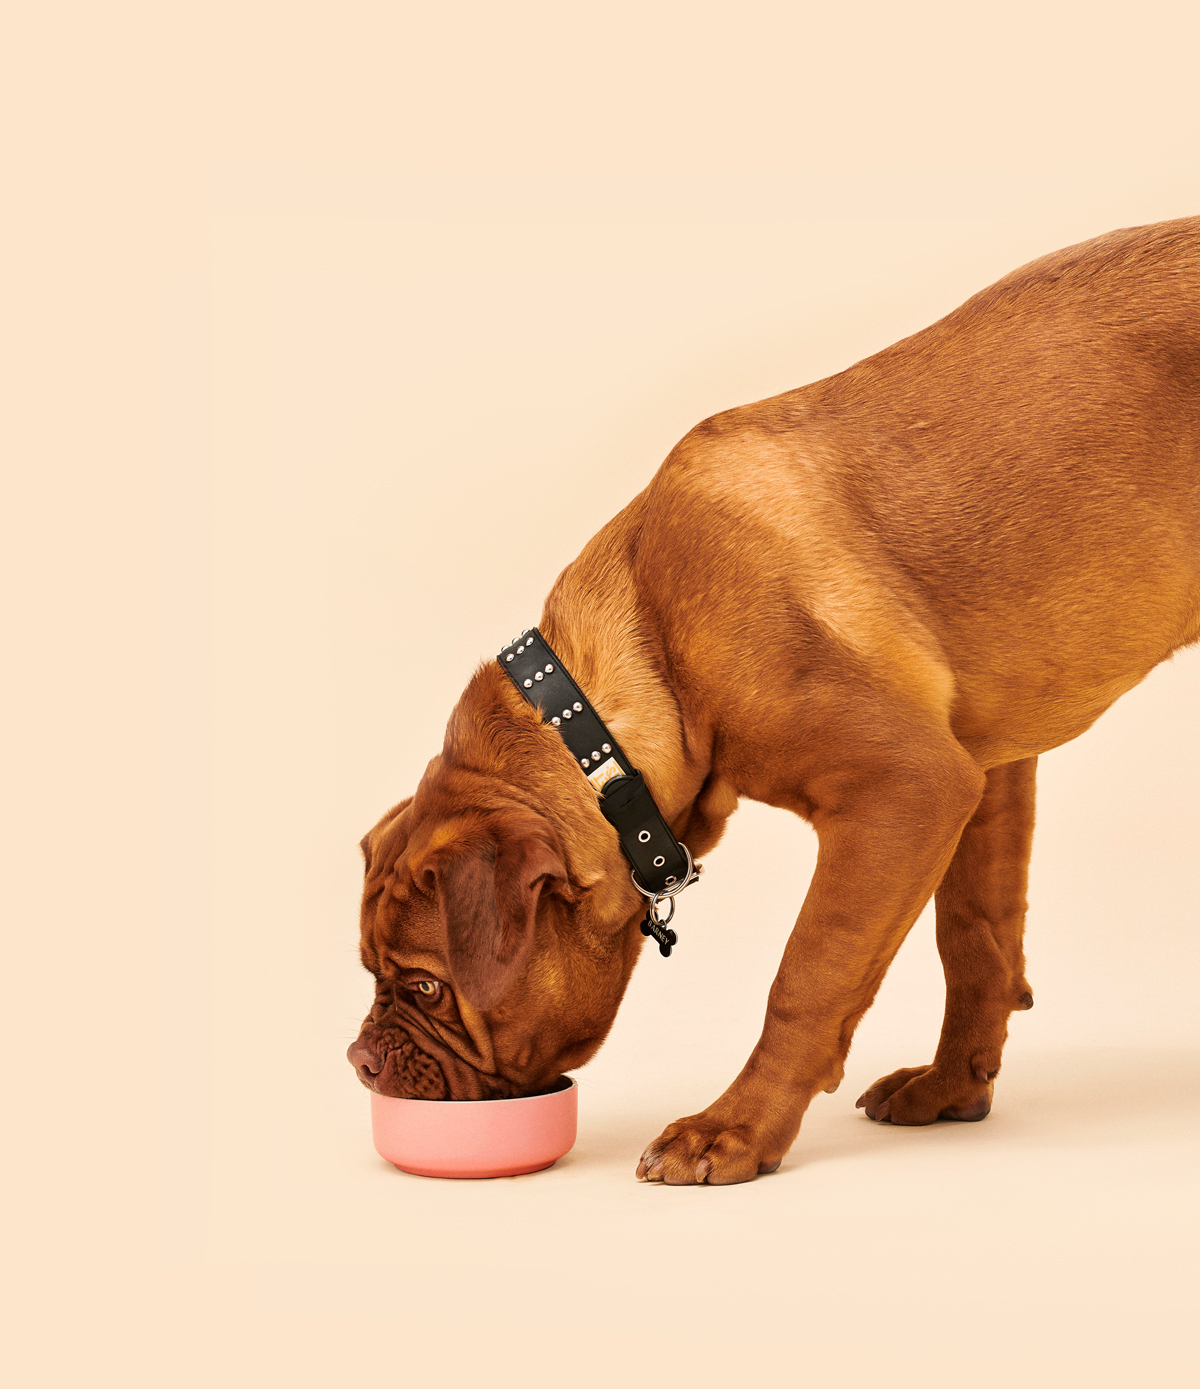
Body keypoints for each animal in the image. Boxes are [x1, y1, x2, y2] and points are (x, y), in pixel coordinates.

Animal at [347, 216, 1200, 1183]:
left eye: (426, 984)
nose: (361, 1058)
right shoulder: (987, 774)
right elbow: (976, 936)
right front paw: (955, 1084)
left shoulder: (908, 788)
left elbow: (810, 973)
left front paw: (736, 1128)